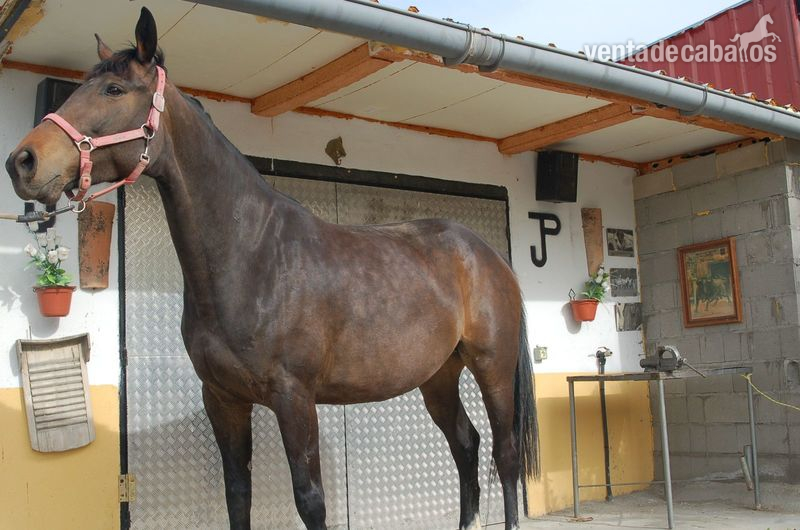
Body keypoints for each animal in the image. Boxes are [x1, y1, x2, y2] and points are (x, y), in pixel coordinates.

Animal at [5, 8, 539, 530]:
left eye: (114, 89)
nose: (22, 162)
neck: (252, 257)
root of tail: (489, 256)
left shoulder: (294, 398)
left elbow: (311, 500)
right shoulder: (223, 400)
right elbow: (237, 495)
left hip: (491, 367)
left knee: (505, 454)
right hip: (439, 374)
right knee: (465, 444)